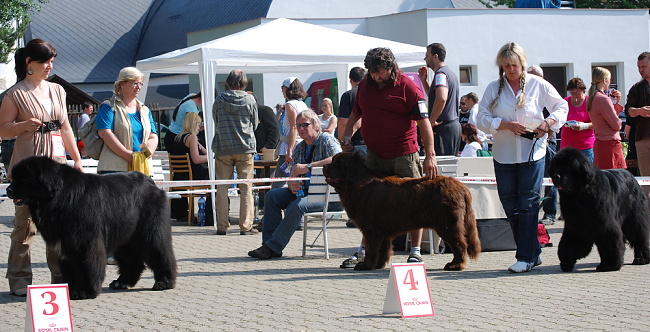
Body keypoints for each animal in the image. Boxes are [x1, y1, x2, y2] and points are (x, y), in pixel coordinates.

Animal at [6, 157, 177, 300]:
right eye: (14, 178)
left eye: (24, 178)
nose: (8, 189)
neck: (60, 197)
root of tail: (152, 184)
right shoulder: (65, 245)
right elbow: (70, 270)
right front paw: (70, 289)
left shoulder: (85, 243)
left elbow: (87, 265)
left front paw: (85, 291)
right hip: (124, 236)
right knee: (132, 261)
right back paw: (122, 282)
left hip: (149, 233)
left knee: (160, 252)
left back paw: (164, 282)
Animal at [322, 152, 478, 272]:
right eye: (332, 160)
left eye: (337, 163)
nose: (324, 166)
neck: (356, 181)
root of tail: (462, 187)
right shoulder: (382, 230)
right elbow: (383, 249)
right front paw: (378, 265)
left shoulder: (371, 229)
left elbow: (371, 249)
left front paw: (365, 265)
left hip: (446, 224)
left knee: (460, 244)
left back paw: (455, 265)